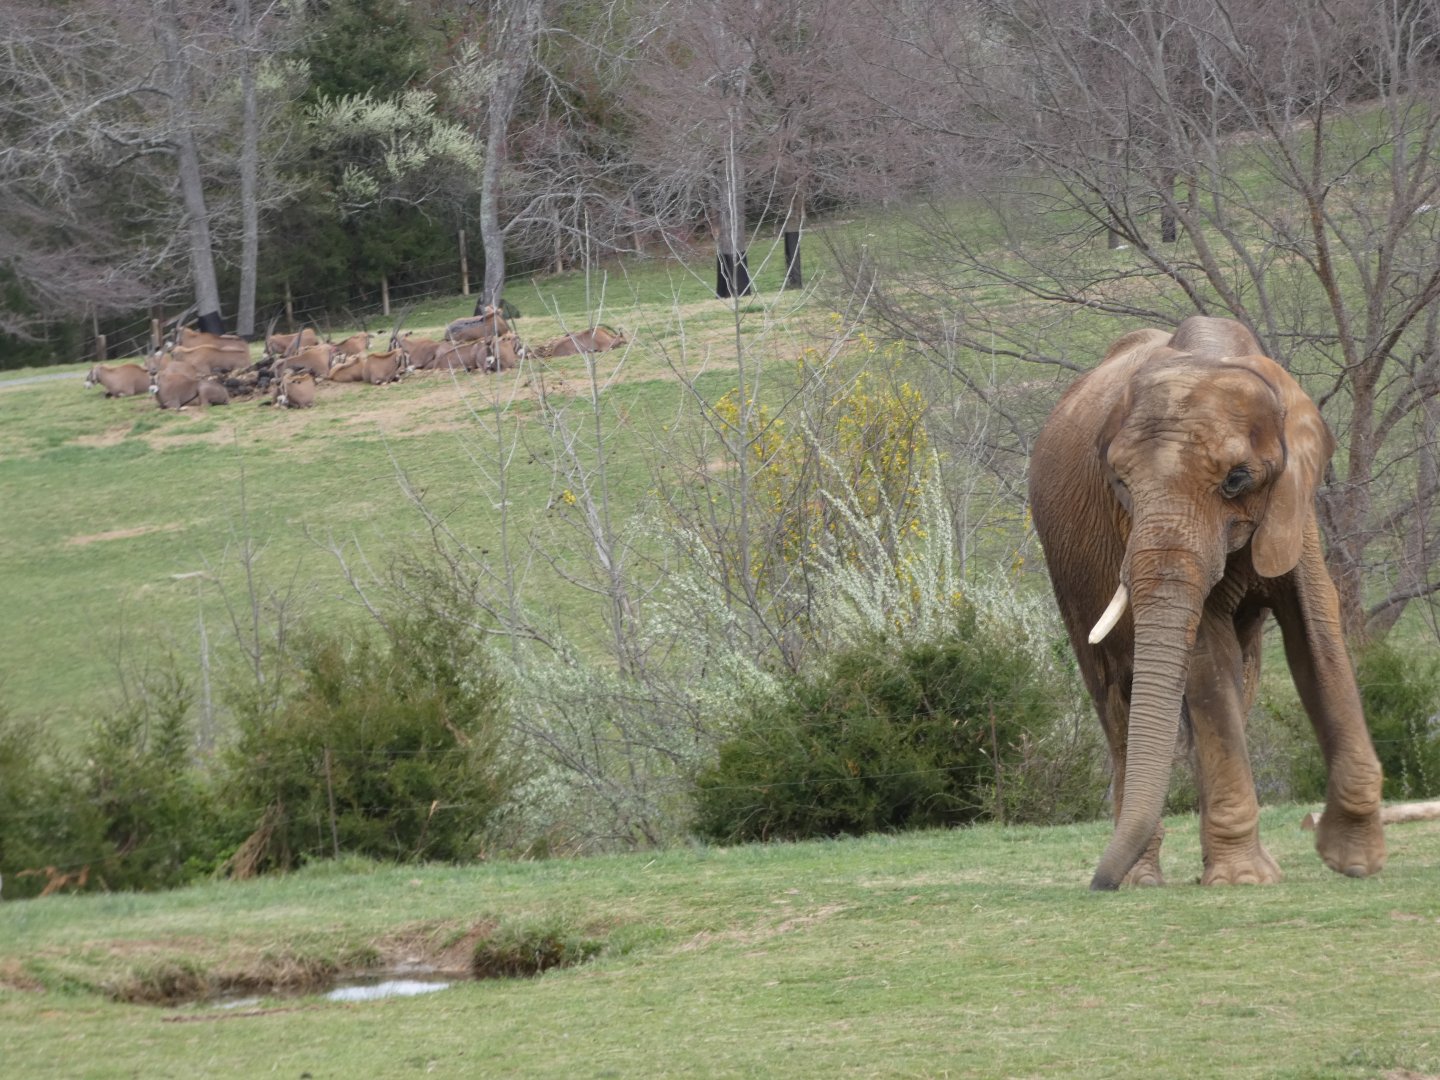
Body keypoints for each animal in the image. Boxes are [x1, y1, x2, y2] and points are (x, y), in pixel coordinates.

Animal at [1029, 315, 1386, 890]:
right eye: (1119, 483)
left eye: (1236, 479)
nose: (1096, 884)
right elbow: (1206, 654)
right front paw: (1245, 880)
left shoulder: (1294, 506)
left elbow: (1316, 636)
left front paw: (1353, 863)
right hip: (1068, 569)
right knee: (1116, 697)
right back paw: (1142, 879)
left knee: (1240, 683)